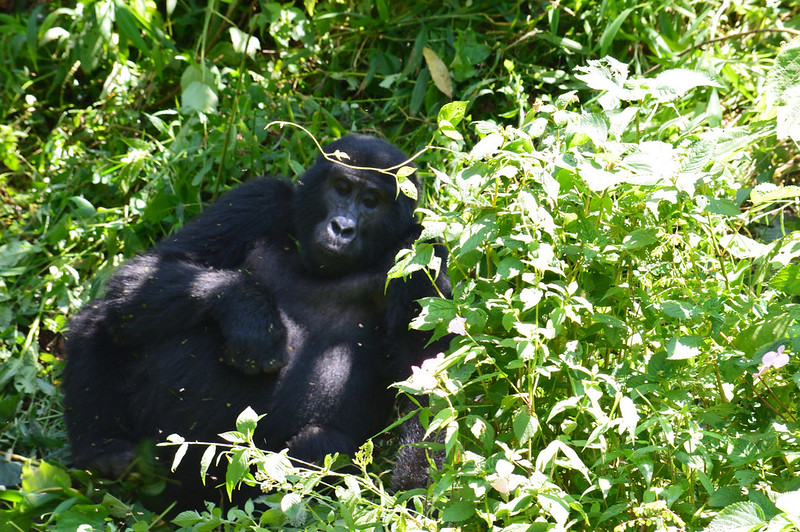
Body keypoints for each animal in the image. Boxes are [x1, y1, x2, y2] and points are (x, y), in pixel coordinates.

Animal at [62, 134, 450, 508]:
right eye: (341, 188)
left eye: (371, 201)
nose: (342, 228)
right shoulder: (261, 198)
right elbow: (147, 269)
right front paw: (250, 314)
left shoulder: (420, 248)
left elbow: (424, 378)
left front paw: (414, 495)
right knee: (103, 318)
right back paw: (104, 451)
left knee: (321, 443)